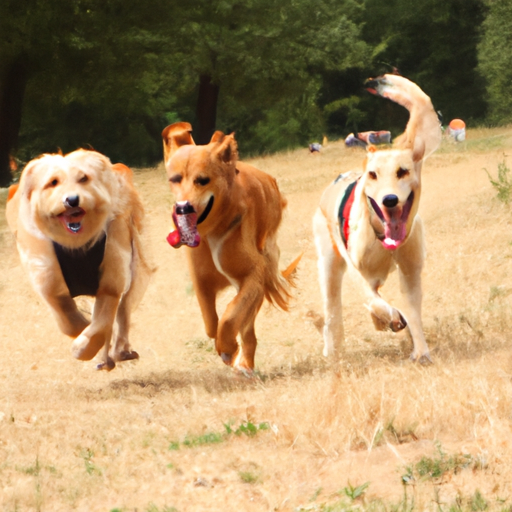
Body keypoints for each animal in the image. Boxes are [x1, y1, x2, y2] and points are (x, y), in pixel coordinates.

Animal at [5, 150, 152, 370]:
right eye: (53, 182)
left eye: (84, 178)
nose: (72, 200)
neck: (76, 244)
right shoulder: (48, 278)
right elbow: (69, 321)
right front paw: (85, 335)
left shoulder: (112, 278)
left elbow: (102, 322)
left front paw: (85, 347)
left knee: (122, 314)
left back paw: (118, 352)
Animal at [162, 122, 298, 374]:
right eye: (175, 179)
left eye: (202, 180)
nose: (183, 207)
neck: (212, 232)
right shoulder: (201, 280)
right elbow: (210, 323)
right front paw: (225, 344)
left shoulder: (253, 276)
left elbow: (229, 318)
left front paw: (227, 348)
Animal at [314, 75, 442, 364]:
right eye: (372, 175)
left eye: (403, 171)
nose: (390, 200)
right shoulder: (358, 269)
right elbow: (373, 300)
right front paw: (389, 318)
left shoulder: (410, 271)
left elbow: (412, 311)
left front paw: (421, 351)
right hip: (328, 266)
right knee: (332, 310)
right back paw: (332, 349)